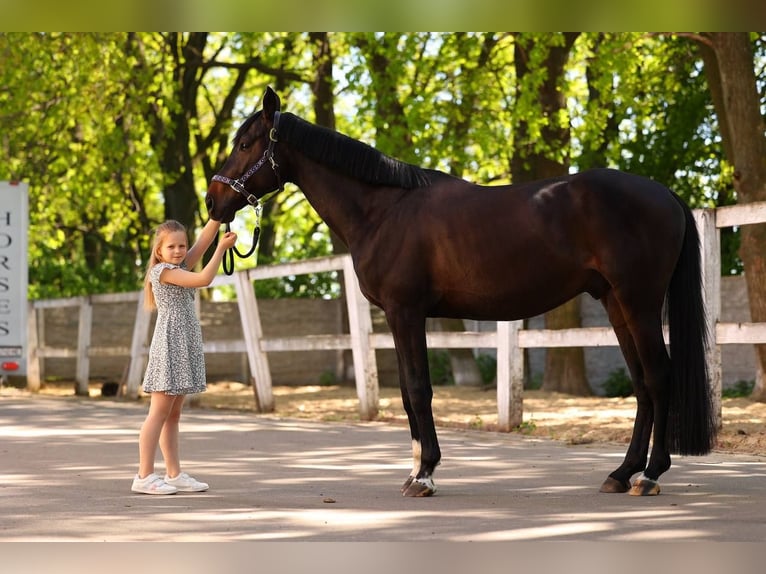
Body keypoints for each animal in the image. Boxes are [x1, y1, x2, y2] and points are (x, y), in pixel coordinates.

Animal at [206, 86, 720, 500]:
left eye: (246, 144)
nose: (213, 200)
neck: (384, 209)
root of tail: (667, 196)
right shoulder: (399, 316)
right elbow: (409, 393)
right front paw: (415, 470)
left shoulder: (406, 311)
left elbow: (419, 389)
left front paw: (425, 475)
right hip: (615, 304)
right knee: (641, 384)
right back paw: (621, 472)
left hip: (639, 303)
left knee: (658, 377)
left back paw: (650, 475)